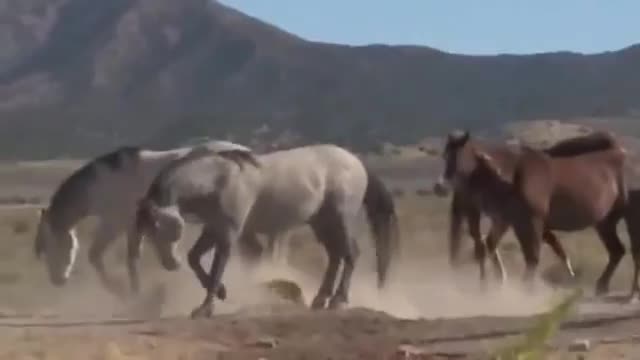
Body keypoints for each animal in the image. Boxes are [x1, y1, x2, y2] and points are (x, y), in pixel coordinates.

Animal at [33, 141, 260, 298]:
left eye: (53, 243)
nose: (56, 281)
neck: (102, 186)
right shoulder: (132, 227)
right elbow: (131, 258)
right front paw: (134, 293)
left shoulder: (114, 224)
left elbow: (98, 256)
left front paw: (127, 294)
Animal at [134, 143, 400, 318]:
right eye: (148, 232)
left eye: (160, 228)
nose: (170, 264)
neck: (219, 180)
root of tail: (358, 163)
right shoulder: (214, 228)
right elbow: (194, 259)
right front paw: (221, 293)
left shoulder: (228, 233)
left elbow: (217, 267)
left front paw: (205, 307)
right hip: (321, 223)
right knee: (335, 256)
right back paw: (320, 299)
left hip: (339, 220)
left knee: (351, 253)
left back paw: (338, 301)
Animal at [460, 131, 636, 296]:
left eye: (474, 173)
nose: (467, 198)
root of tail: (621, 152)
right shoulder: (507, 220)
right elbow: (491, 245)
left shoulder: (531, 221)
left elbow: (532, 257)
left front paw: (526, 290)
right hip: (604, 222)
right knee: (617, 250)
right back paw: (602, 286)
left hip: (616, 219)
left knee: (622, 250)